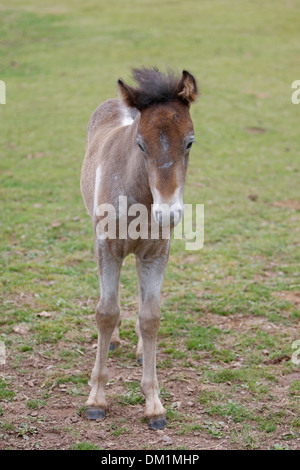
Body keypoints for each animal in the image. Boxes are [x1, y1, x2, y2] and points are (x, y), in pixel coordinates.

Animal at [81, 67, 198, 430]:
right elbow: (106, 312)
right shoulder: (107, 248)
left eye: (190, 141)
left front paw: (154, 405)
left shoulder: (155, 253)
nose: (168, 214)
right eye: (140, 144)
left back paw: (136, 346)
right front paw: (96, 400)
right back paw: (117, 341)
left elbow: (150, 317)